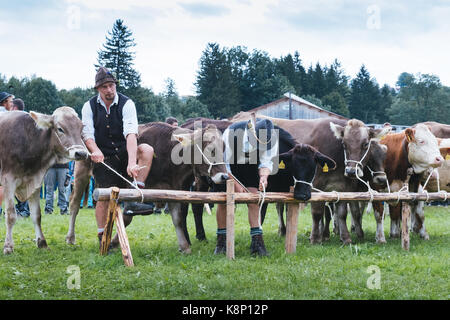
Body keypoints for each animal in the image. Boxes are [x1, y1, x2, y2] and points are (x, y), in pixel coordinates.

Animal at [0, 109, 87, 254]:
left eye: (81, 128)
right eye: (60, 129)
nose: (81, 153)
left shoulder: (35, 182)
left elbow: (36, 215)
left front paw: (42, 242)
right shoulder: (8, 181)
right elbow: (11, 215)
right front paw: (8, 246)